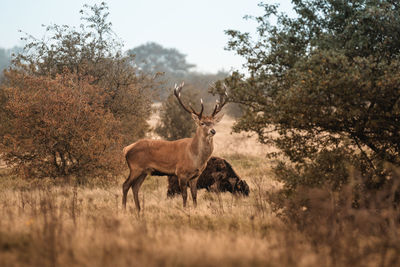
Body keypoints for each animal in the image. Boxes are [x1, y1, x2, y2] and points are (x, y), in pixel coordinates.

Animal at [122, 82, 228, 213]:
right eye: (202, 123)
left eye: (213, 122)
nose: (213, 131)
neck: (195, 157)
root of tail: (126, 149)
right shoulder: (181, 173)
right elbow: (184, 195)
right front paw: (185, 210)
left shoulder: (195, 176)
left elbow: (194, 195)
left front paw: (195, 209)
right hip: (135, 167)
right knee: (126, 185)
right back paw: (124, 209)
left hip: (144, 171)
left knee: (135, 187)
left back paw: (139, 210)